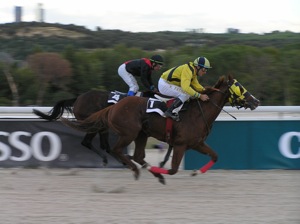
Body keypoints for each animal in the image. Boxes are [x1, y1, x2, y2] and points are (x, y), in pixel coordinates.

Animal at [60, 75, 260, 184]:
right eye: (240, 87)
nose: (256, 101)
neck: (197, 113)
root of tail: (115, 106)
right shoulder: (180, 144)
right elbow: (173, 169)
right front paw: (161, 170)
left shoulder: (196, 143)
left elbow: (215, 156)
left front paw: (195, 172)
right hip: (129, 133)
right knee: (115, 149)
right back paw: (135, 169)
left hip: (140, 134)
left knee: (136, 155)